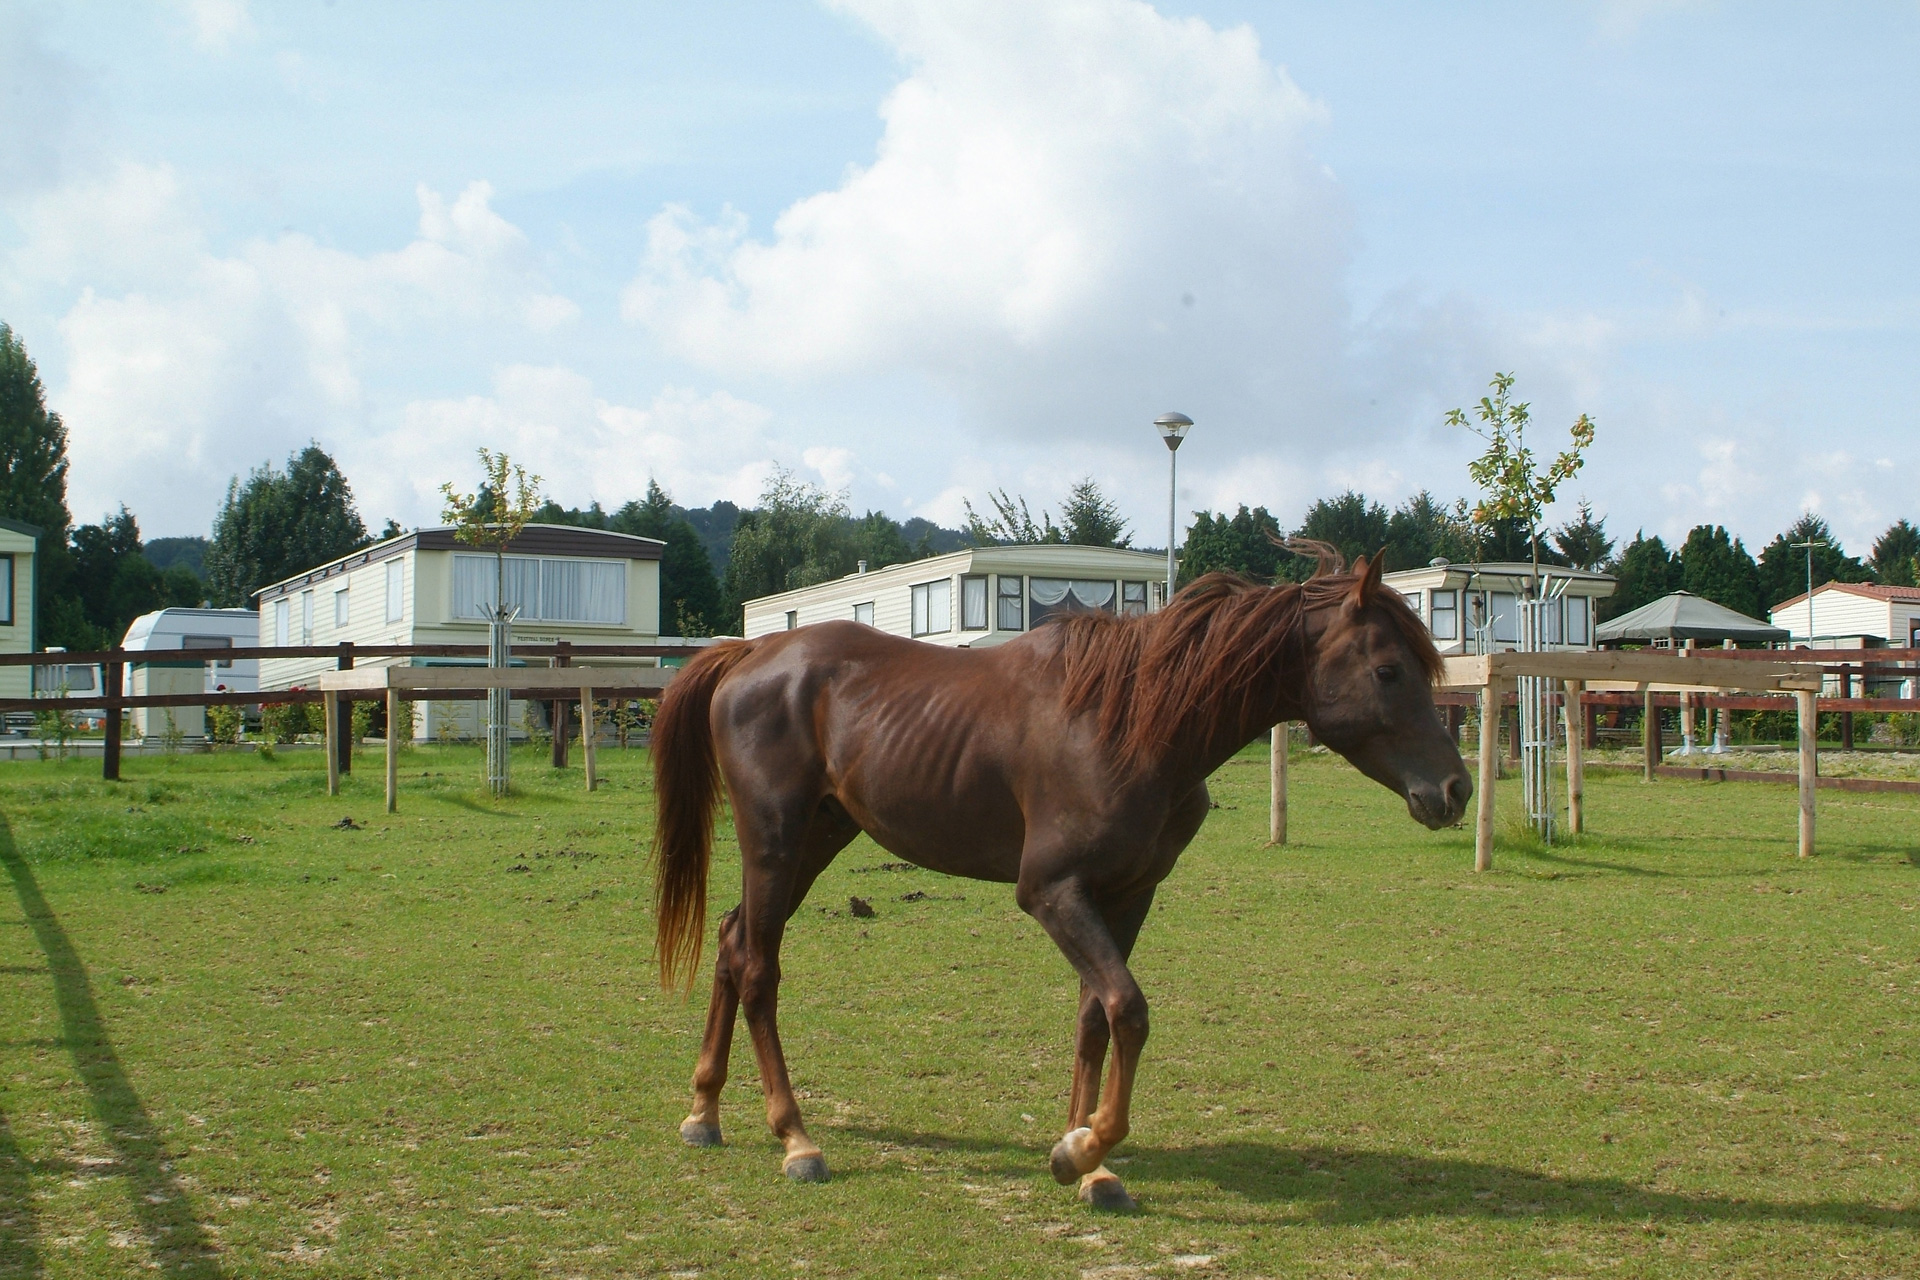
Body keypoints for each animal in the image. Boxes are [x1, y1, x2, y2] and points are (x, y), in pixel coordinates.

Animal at [648, 552, 1466, 1212]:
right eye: (1388, 670)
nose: (1454, 790)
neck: (1131, 722)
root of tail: (754, 651)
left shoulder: (1125, 896)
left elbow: (1094, 1019)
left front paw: (1091, 1165)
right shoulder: (1051, 892)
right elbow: (1130, 1010)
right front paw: (1082, 1150)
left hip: (817, 837)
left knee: (733, 942)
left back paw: (704, 1113)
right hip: (775, 841)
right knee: (759, 969)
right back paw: (796, 1140)